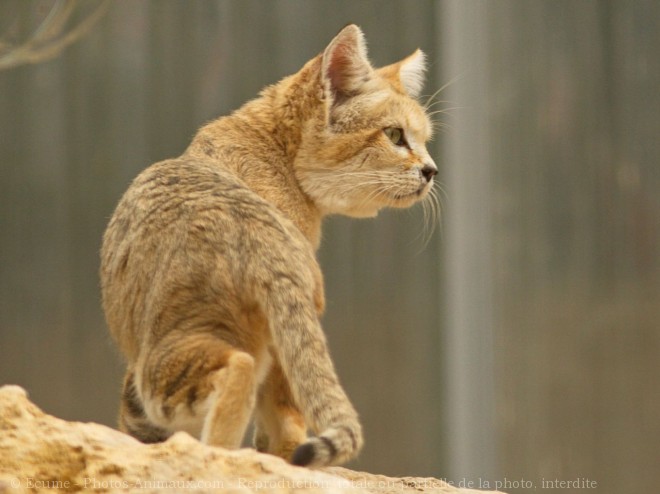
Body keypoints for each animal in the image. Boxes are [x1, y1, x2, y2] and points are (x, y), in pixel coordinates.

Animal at [100, 26, 436, 466]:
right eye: (395, 135)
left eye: (425, 140)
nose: (432, 171)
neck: (272, 145)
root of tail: (259, 238)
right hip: (165, 363)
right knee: (245, 377)